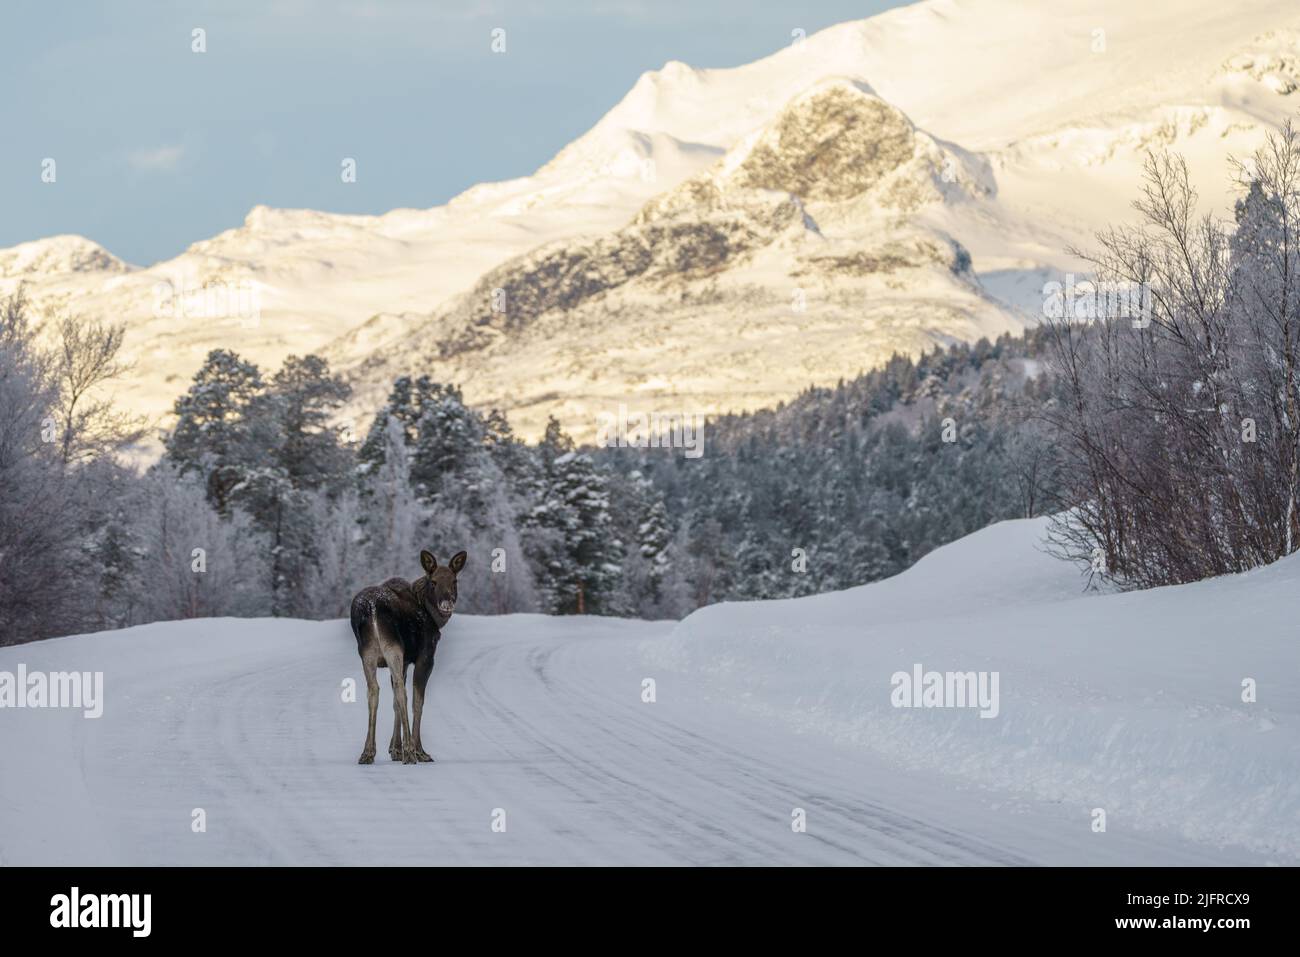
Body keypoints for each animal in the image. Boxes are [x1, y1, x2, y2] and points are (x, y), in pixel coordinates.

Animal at [348, 548, 465, 764]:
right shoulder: (425, 657)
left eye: (454, 581)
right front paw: (417, 750)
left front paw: (395, 749)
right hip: (393, 647)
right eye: (433, 582)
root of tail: (371, 608)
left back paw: (368, 752)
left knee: (374, 690)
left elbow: (394, 701)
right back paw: (410, 752)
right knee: (401, 691)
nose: (446, 604)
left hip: (366, 652)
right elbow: (417, 702)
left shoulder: (404, 662)